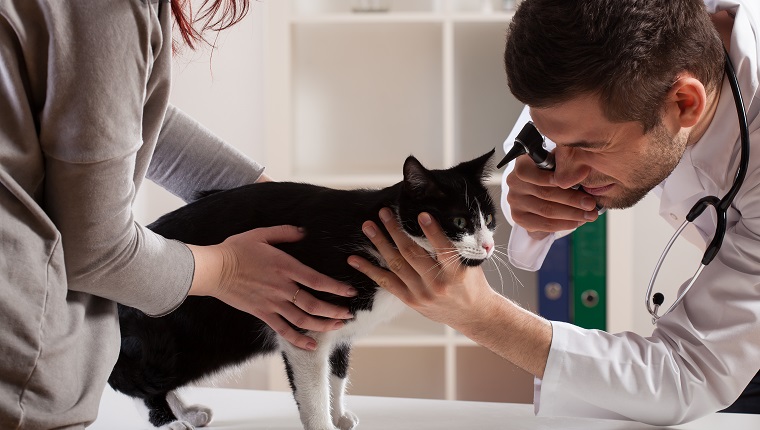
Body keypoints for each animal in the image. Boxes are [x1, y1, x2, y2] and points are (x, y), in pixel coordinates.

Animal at [107, 149, 498, 430]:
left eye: (490, 220)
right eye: (459, 221)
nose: (489, 245)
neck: (376, 234)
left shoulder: (340, 327)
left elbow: (336, 375)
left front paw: (338, 415)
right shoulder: (303, 324)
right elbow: (312, 389)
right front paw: (323, 424)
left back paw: (185, 412)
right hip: (188, 340)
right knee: (127, 379)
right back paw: (170, 421)